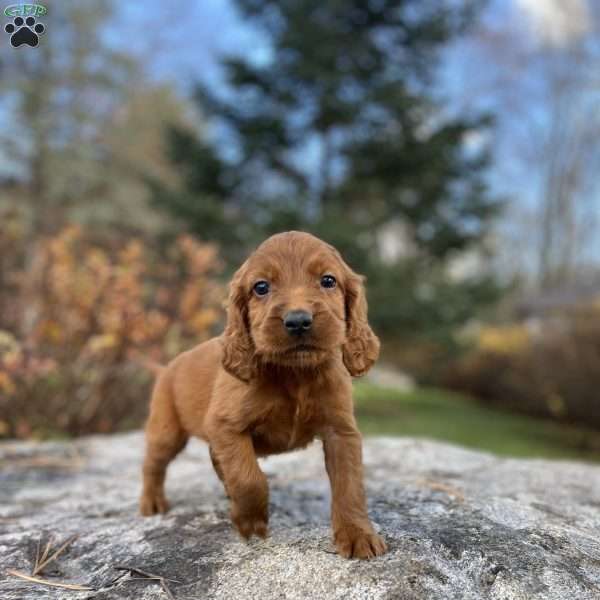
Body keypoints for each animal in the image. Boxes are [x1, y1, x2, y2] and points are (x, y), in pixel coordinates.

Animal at [139, 230, 386, 556]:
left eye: (328, 280)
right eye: (261, 287)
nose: (298, 321)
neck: (295, 372)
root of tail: (168, 365)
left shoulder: (341, 431)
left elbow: (350, 484)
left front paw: (358, 534)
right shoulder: (226, 426)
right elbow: (248, 478)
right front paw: (250, 522)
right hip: (166, 431)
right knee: (153, 465)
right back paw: (152, 503)